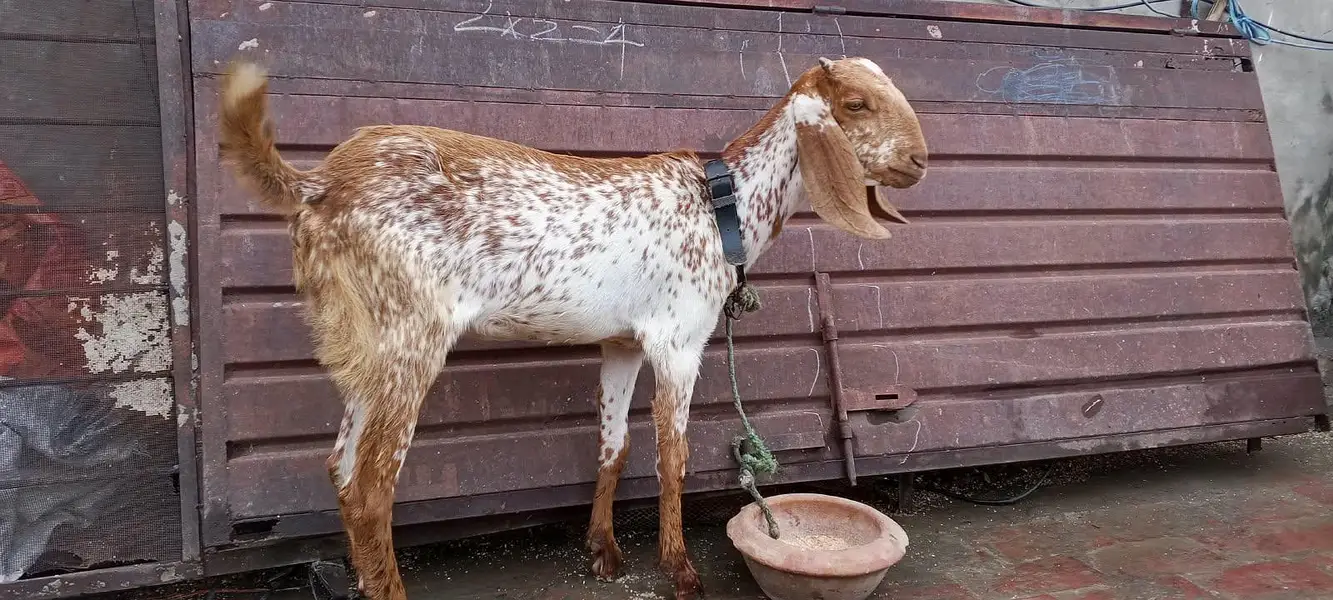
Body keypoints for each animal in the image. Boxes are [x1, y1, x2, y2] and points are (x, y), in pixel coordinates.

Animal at [218, 55, 927, 600]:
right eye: (856, 103)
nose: (921, 160)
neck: (721, 208)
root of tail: (315, 185)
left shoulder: (622, 343)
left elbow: (614, 446)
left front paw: (604, 552)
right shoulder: (677, 340)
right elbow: (674, 457)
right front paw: (681, 572)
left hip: (368, 343)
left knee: (339, 468)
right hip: (410, 333)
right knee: (371, 488)